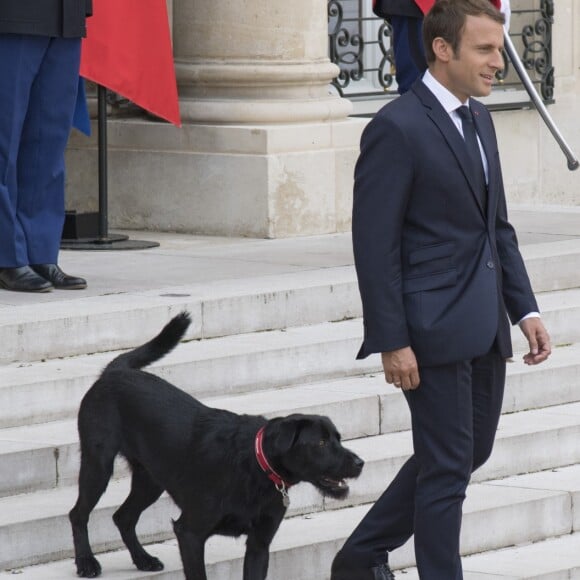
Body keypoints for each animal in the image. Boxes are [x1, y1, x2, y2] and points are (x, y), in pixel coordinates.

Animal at [70, 314, 362, 576]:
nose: (360, 463)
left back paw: (143, 559)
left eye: (338, 438)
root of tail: (115, 371)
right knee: (78, 513)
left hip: (150, 479)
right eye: (321, 442)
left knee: (123, 517)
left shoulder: (259, 544)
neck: (256, 466)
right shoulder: (189, 533)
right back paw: (86, 562)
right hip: (98, 466)